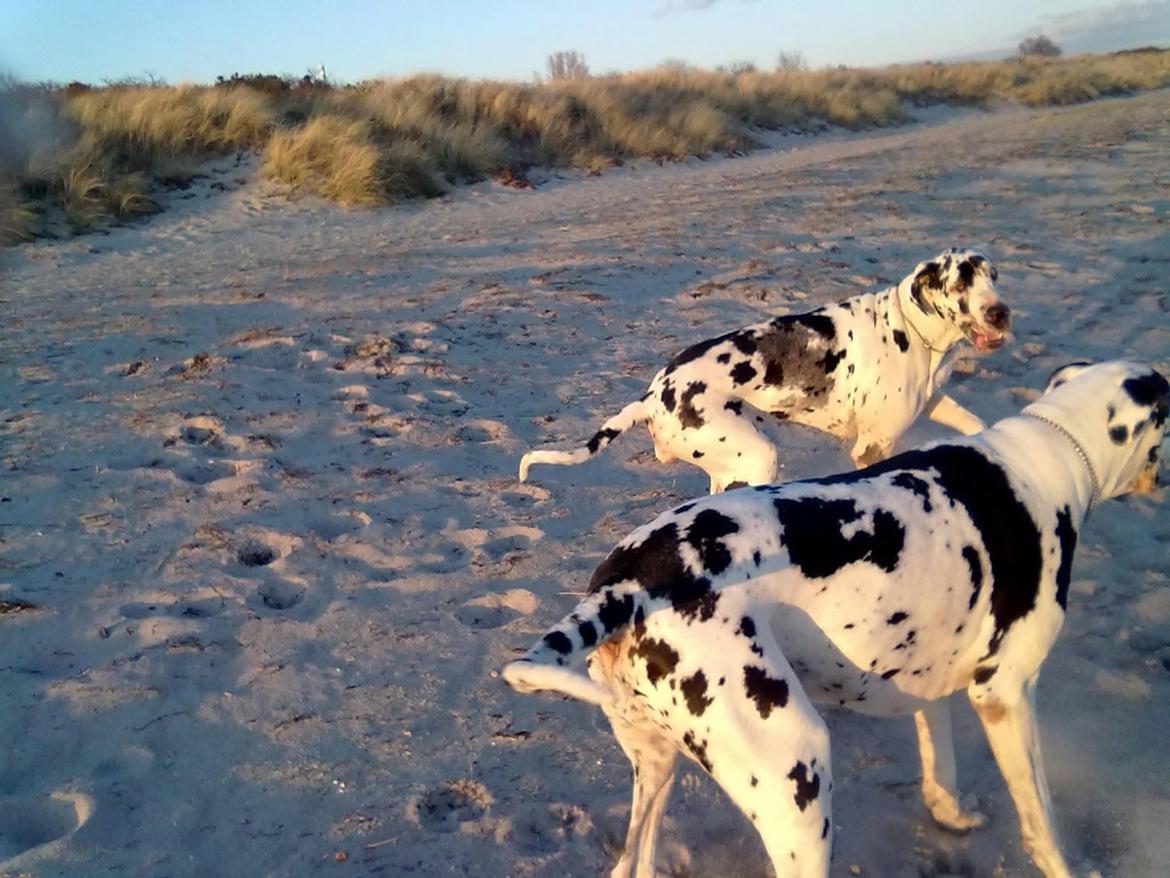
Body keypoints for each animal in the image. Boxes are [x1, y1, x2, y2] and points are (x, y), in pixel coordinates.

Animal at [505, 360, 1170, 875]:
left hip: (657, 763)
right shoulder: (1006, 695)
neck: (1048, 455)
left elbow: (942, 767)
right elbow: (1042, 822)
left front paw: (951, 815)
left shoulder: (926, 679)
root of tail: (627, 581)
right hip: (796, 775)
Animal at [521, 248, 1006, 496]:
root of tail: (654, 394)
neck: (912, 327)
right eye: (960, 282)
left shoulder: (935, 401)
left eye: (993, 276)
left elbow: (976, 424)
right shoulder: (871, 448)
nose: (1000, 312)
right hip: (757, 457)